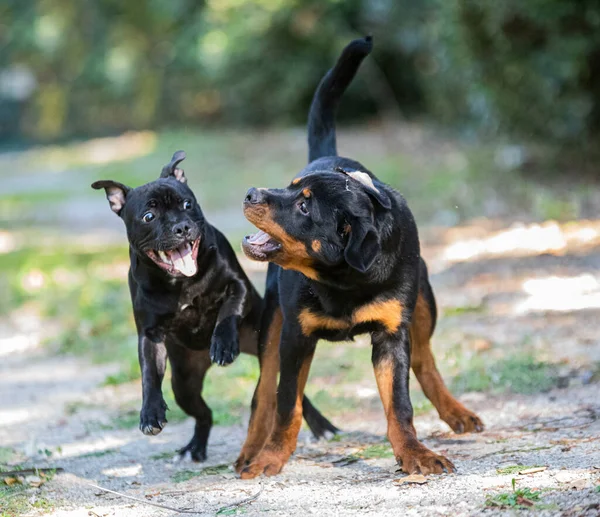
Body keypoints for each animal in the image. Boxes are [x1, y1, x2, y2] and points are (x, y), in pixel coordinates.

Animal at [92, 151, 338, 462]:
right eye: (149, 216)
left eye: (187, 204)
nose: (182, 227)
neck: (181, 282)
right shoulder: (149, 334)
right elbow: (149, 374)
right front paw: (150, 413)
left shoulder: (237, 285)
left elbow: (228, 311)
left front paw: (222, 344)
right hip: (184, 385)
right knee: (204, 415)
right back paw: (195, 447)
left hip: (268, 352)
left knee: (289, 392)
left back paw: (321, 426)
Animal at [234, 37, 482, 480]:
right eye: (290, 187)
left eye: (303, 206)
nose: (250, 193)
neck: (342, 280)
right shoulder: (295, 337)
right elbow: (285, 404)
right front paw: (270, 458)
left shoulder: (390, 335)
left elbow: (399, 405)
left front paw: (414, 453)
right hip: (272, 322)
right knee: (263, 392)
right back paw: (251, 450)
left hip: (423, 299)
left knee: (424, 359)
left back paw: (456, 412)